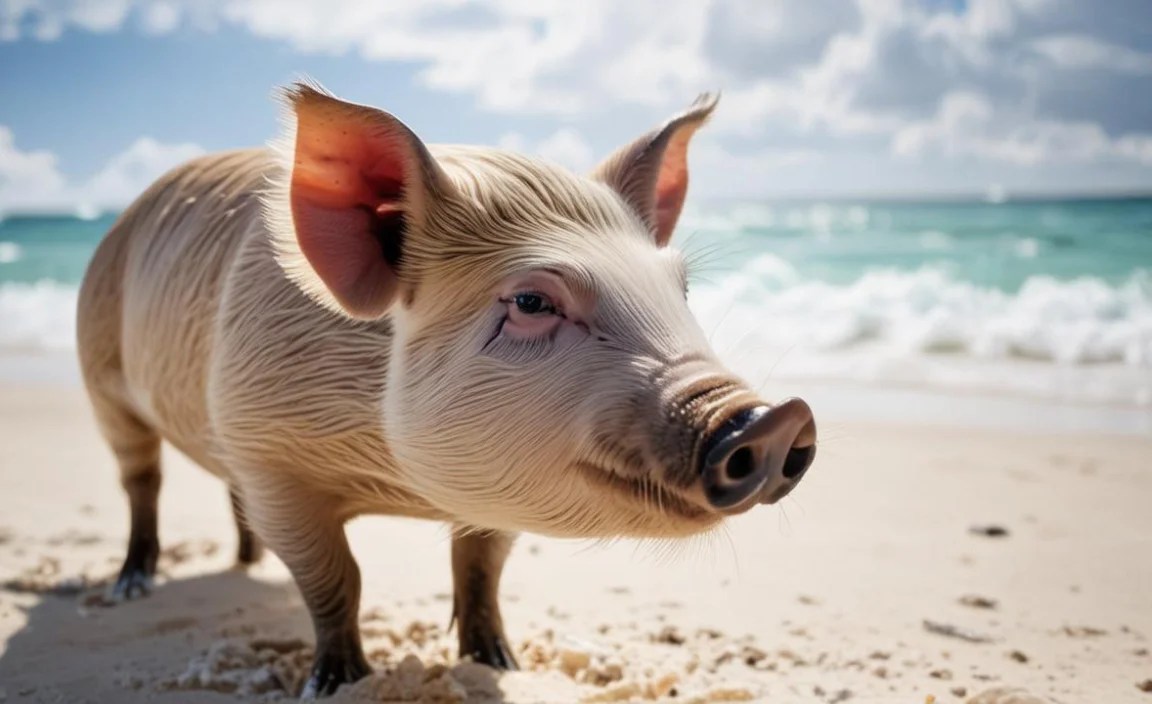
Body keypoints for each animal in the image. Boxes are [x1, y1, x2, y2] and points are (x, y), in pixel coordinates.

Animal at [76, 82, 817, 697]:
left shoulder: (498, 485)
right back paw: (131, 587)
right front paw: (336, 684)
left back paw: (246, 564)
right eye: (531, 301)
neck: (395, 484)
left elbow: (480, 566)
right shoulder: (269, 455)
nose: (773, 418)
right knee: (140, 481)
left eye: (680, 288)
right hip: (102, 375)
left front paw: (500, 664)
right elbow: (334, 578)